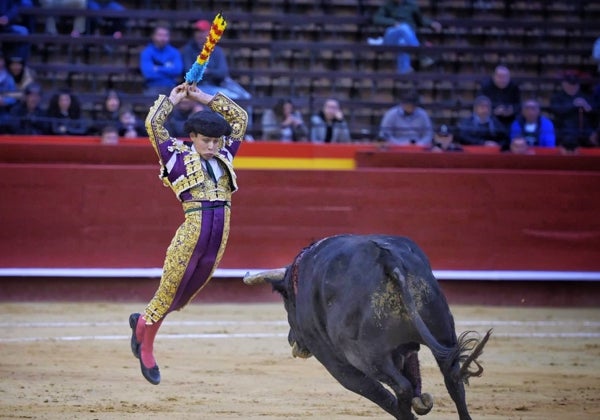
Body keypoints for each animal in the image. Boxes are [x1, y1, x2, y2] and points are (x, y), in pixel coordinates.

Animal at [245, 235, 492, 418]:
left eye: (286, 301)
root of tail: (388, 260)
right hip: (442, 331)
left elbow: (377, 393)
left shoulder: (336, 362)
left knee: (400, 388)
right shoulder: (406, 350)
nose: (291, 340)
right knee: (453, 378)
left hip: (364, 356)